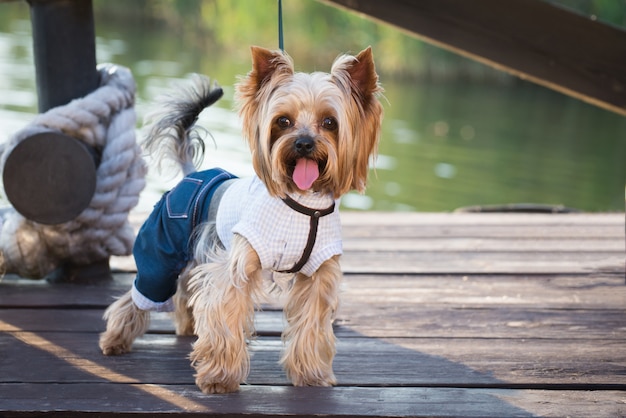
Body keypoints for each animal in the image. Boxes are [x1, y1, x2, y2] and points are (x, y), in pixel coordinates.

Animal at [98, 46, 380, 396]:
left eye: (329, 122)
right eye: (283, 121)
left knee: (186, 286)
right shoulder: (235, 267)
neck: (305, 205)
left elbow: (311, 322)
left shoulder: (318, 274)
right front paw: (219, 378)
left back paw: (186, 325)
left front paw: (311, 373)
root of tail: (192, 173)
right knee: (145, 291)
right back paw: (115, 339)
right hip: (162, 244)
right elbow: (224, 313)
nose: (303, 143)